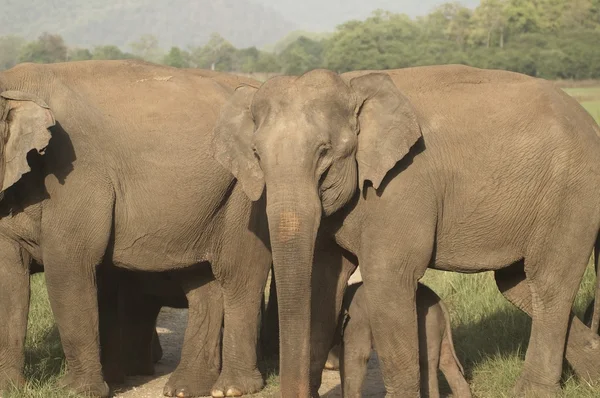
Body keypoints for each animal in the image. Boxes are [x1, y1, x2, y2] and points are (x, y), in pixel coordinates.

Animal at [0, 59, 270, 398]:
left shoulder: (77, 172)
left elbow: (69, 265)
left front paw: (77, 390)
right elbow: (9, 279)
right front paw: (9, 387)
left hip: (247, 189)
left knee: (239, 273)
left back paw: (233, 387)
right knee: (204, 283)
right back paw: (185, 387)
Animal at [336, 282, 472, 398]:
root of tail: (440, 302)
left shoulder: (357, 320)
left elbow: (357, 356)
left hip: (428, 324)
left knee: (427, 363)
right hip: (438, 326)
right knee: (446, 361)